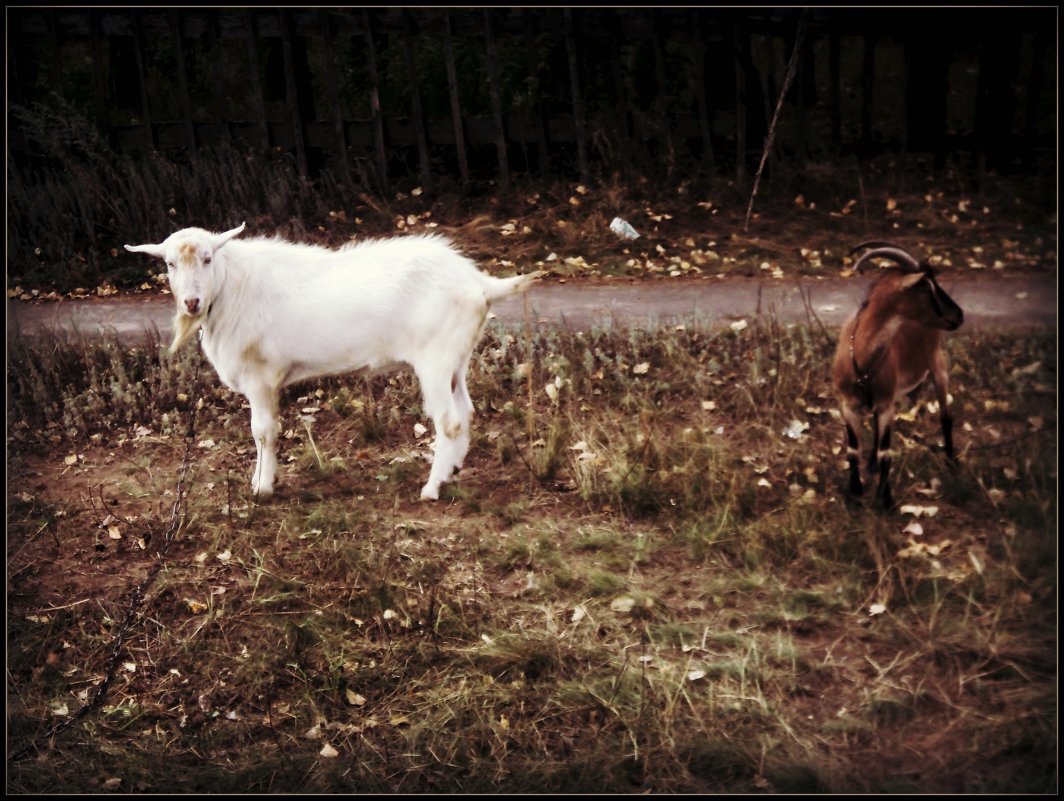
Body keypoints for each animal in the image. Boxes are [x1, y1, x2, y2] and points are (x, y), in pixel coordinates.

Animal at [124, 223, 540, 499]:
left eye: (209, 258)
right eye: (170, 264)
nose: (191, 302)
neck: (232, 288)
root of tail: (479, 284)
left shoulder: (261, 378)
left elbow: (263, 432)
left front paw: (262, 487)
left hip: (435, 360)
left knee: (448, 421)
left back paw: (432, 488)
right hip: (457, 358)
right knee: (465, 411)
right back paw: (452, 471)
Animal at [829, 240, 966, 508]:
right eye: (926, 286)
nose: (959, 315)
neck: (861, 360)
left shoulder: (886, 405)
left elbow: (886, 451)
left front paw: (886, 499)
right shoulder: (848, 405)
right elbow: (853, 449)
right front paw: (855, 492)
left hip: (937, 363)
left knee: (945, 416)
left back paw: (951, 460)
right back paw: (871, 465)